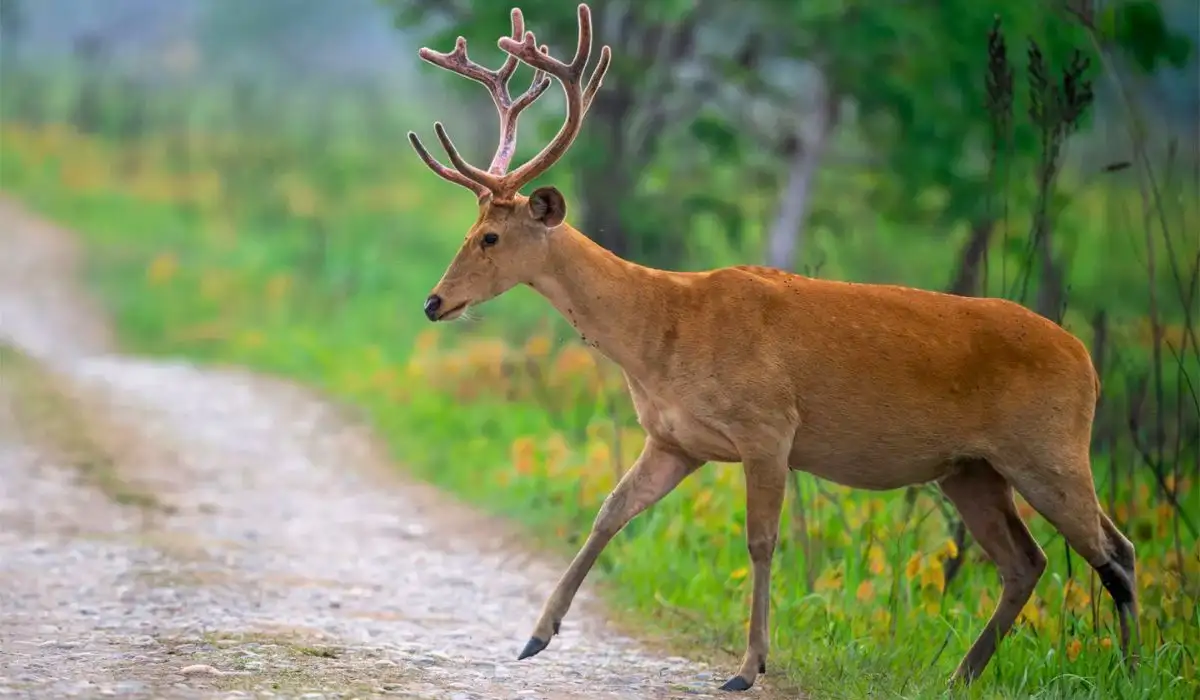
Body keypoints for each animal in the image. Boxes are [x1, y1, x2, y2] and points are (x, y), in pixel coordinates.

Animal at [406, 3, 1140, 692]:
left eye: (490, 238)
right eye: (471, 229)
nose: (434, 301)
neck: (663, 332)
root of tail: (1088, 361)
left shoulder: (768, 426)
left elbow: (761, 542)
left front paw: (748, 665)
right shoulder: (675, 439)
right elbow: (609, 511)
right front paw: (535, 636)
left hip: (1048, 447)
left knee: (1115, 550)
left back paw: (1131, 672)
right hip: (970, 468)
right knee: (1028, 560)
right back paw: (960, 675)